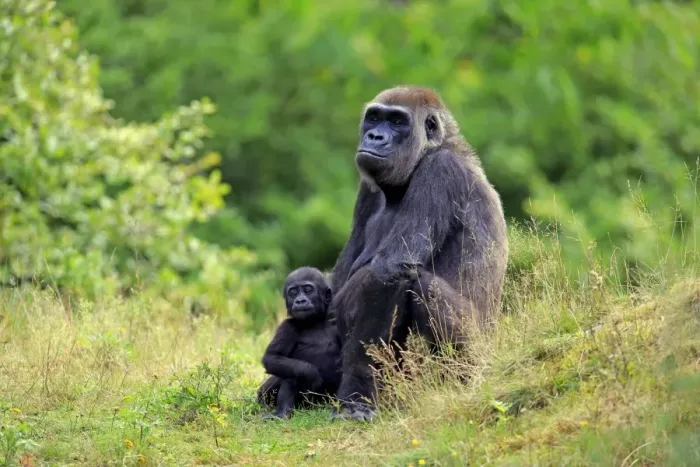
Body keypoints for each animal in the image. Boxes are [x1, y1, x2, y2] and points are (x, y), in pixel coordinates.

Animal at [256, 267, 342, 419]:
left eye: (308, 290)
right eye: (293, 293)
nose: (300, 300)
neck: (316, 321)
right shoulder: (287, 326)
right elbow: (273, 357)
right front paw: (311, 373)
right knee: (291, 370)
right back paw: (282, 413)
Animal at [329, 85, 509, 421]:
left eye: (398, 122)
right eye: (374, 117)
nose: (374, 136)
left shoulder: (439, 172)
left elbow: (389, 271)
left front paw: (357, 395)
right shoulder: (368, 189)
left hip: (478, 348)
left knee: (422, 286)